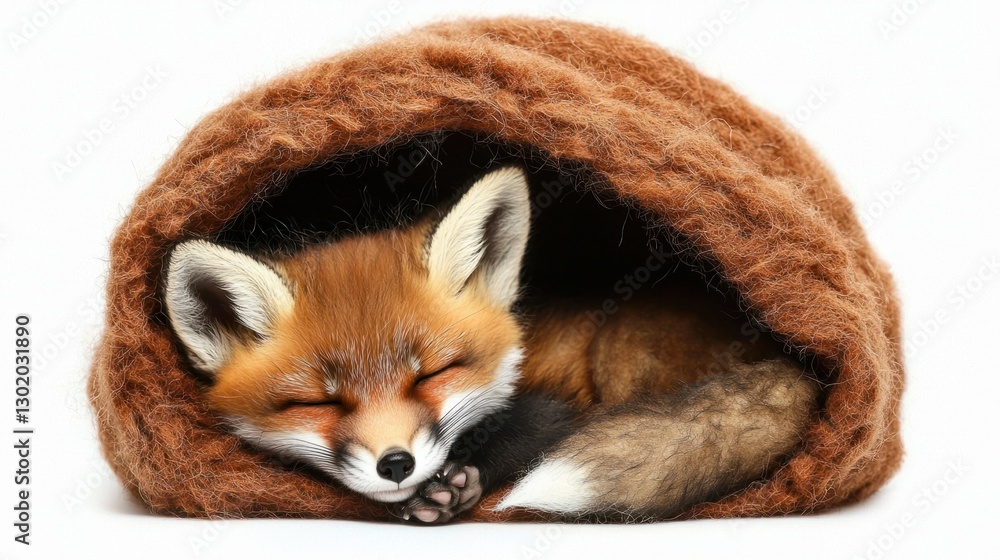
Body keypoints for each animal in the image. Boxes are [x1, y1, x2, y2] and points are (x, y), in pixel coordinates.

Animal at [163, 166, 819, 524]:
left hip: (625, 350)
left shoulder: (562, 403)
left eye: (432, 374)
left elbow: (522, 429)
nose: (396, 464)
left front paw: (457, 484)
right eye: (318, 403)